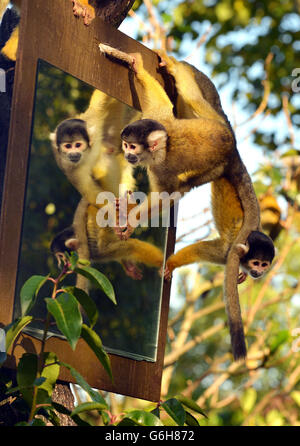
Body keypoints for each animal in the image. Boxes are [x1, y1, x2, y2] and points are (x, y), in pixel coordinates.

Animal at [99, 43, 276, 360]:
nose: (128, 155)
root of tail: (232, 145)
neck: (163, 146)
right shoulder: (160, 120)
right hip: (212, 122)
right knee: (193, 101)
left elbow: (166, 195)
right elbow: (161, 107)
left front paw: (132, 224)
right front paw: (135, 65)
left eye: (132, 147)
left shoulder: (162, 166)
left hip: (214, 148)